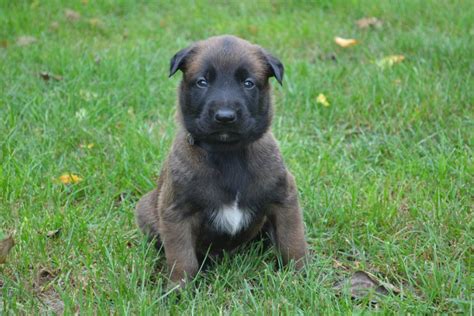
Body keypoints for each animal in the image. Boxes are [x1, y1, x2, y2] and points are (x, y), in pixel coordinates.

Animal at [135, 35, 310, 288]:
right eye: (202, 82)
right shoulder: (176, 213)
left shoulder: (284, 199)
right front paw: (179, 288)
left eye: (248, 83)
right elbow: (182, 258)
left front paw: (299, 277)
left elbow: (292, 242)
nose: (225, 117)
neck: (228, 153)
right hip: (145, 209)